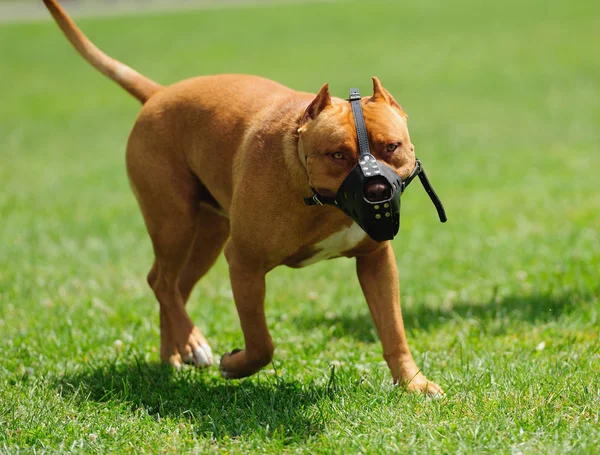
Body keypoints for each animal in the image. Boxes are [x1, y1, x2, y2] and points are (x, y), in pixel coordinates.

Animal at [43, 0, 446, 396]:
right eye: (337, 155)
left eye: (392, 147)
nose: (377, 190)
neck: (320, 200)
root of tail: (159, 92)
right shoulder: (244, 262)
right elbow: (261, 343)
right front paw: (235, 365)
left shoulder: (376, 261)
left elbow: (393, 329)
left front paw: (412, 382)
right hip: (174, 223)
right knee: (161, 281)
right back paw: (193, 343)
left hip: (206, 235)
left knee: (174, 286)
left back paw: (175, 351)